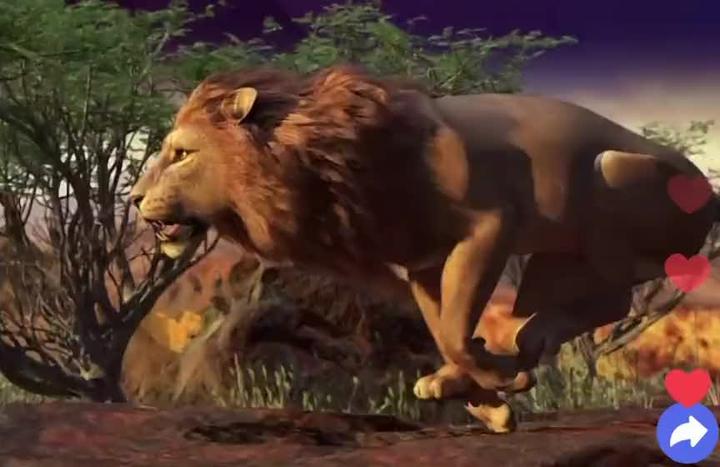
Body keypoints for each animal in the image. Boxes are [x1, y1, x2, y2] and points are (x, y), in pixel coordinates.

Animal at [130, 65, 718, 433]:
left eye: (181, 154)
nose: (134, 198)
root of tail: (709, 193)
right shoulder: (422, 260)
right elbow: (443, 328)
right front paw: (482, 400)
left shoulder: (490, 225)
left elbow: (456, 331)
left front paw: (495, 380)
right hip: (558, 254)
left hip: (610, 177)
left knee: (613, 296)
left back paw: (529, 339)